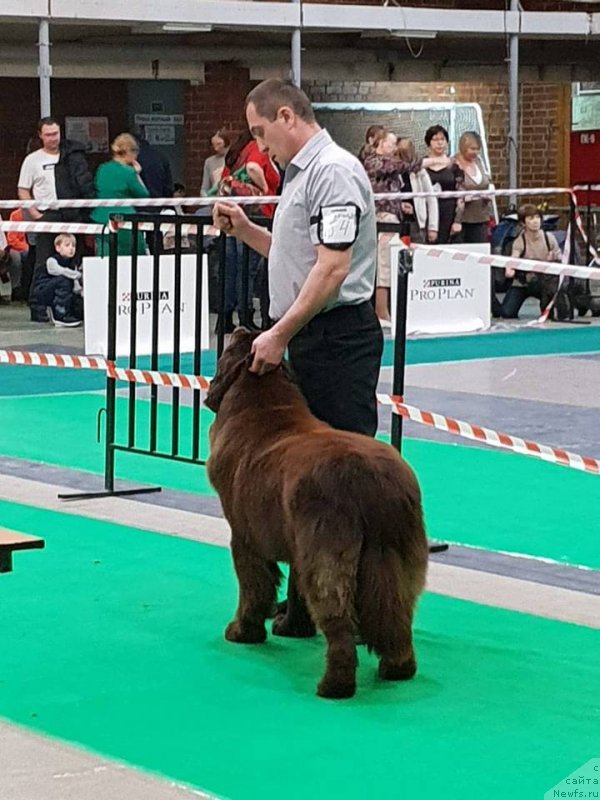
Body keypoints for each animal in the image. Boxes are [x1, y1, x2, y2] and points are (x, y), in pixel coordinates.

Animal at [205, 328, 426, 696]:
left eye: (233, 345)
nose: (242, 327)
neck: (266, 405)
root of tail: (372, 481)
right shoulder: (296, 539)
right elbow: (293, 586)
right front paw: (290, 626)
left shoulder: (246, 535)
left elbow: (254, 586)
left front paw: (243, 632)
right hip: (397, 552)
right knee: (396, 607)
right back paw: (397, 667)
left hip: (328, 549)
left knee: (335, 612)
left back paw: (335, 684)